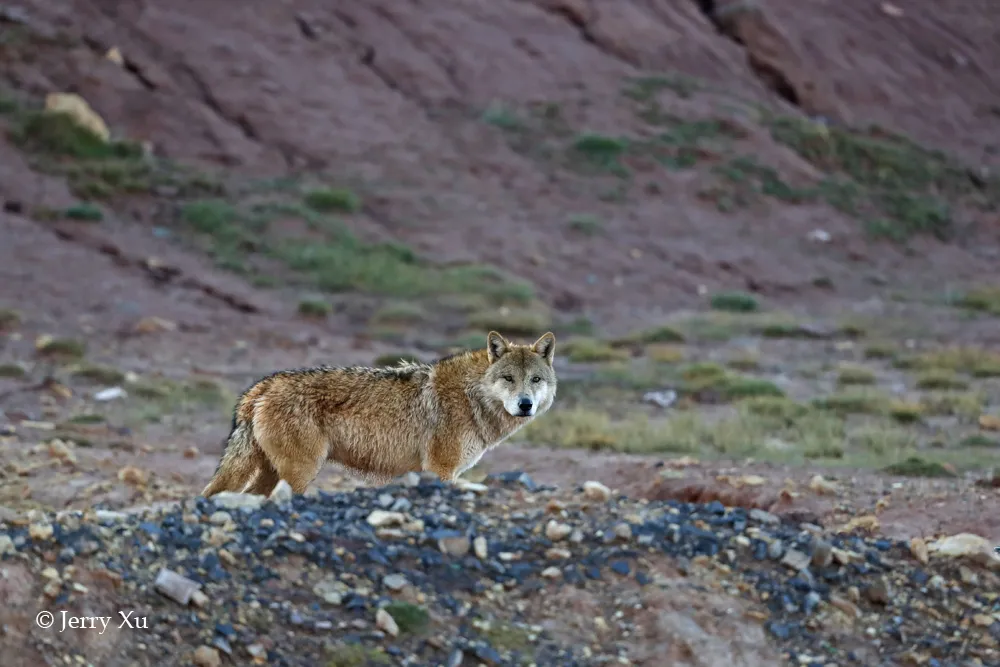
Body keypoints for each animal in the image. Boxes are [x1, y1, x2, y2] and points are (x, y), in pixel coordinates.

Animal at [197, 332, 556, 498]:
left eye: (535, 380)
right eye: (508, 378)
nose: (525, 404)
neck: (472, 395)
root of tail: (261, 386)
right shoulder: (441, 470)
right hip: (300, 472)